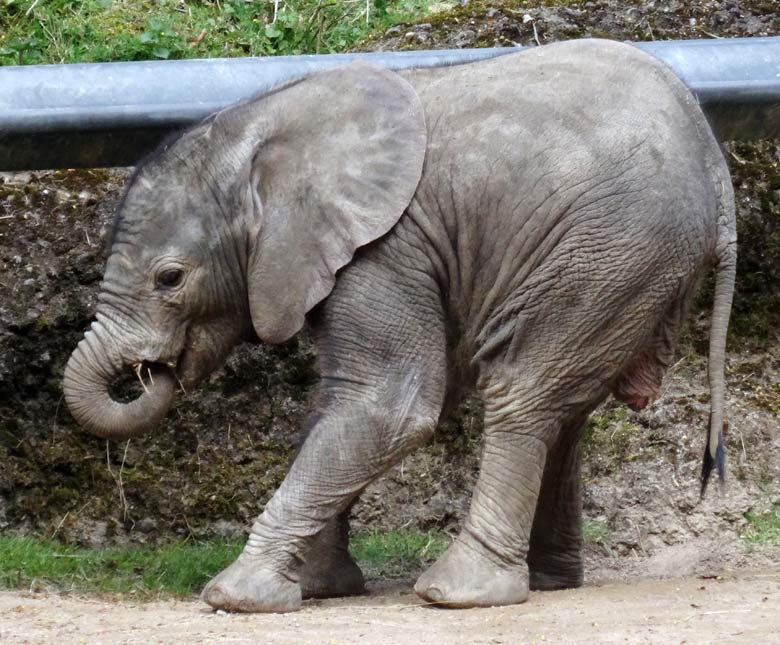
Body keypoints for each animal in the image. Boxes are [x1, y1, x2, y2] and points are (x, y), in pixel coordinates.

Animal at [64, 37, 736, 612]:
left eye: (169, 279)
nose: (151, 371)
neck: (260, 132)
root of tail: (716, 168)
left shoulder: (383, 249)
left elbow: (389, 405)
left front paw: (236, 597)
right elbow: (337, 406)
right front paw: (320, 587)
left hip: (611, 250)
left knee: (522, 390)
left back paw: (459, 592)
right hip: (626, 265)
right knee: (563, 409)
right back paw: (547, 581)